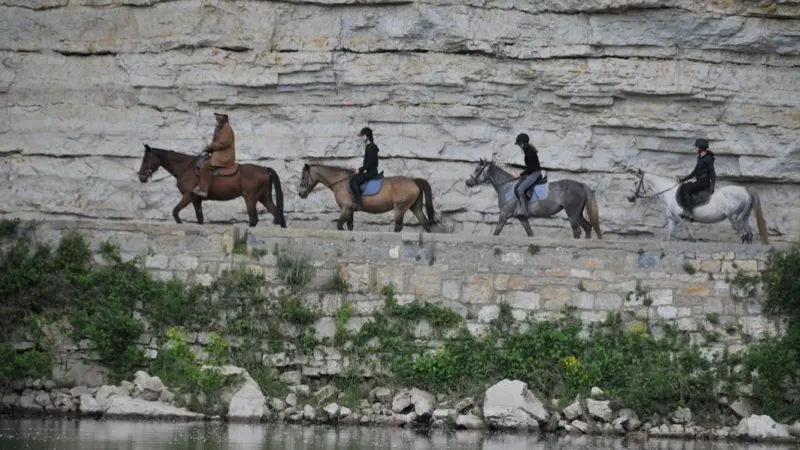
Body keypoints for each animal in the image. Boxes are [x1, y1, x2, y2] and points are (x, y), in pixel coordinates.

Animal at [138, 144, 288, 227]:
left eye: (145, 159)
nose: (141, 176)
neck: (186, 168)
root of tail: (265, 169)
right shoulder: (196, 200)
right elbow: (200, 219)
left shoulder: (188, 196)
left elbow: (175, 212)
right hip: (264, 197)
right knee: (277, 213)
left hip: (250, 198)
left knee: (254, 219)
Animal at [298, 163, 440, 232]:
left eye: (303, 176)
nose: (301, 194)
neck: (340, 182)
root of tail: (413, 181)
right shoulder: (350, 211)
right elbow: (350, 227)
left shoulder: (346, 209)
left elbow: (339, 226)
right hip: (415, 208)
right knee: (425, 224)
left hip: (400, 208)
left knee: (399, 227)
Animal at [466, 159, 604, 239]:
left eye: (477, 169)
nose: (468, 182)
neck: (507, 186)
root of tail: (581, 184)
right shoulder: (522, 218)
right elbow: (530, 233)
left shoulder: (504, 215)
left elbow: (496, 232)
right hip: (578, 213)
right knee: (587, 227)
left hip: (572, 213)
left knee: (577, 231)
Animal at [624, 169, 768, 244]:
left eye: (635, 182)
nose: (630, 198)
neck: (669, 194)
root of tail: (745, 190)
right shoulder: (672, 220)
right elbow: (669, 235)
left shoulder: (683, 219)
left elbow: (690, 232)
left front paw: (695, 240)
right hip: (742, 218)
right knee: (748, 234)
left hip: (735, 218)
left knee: (745, 234)